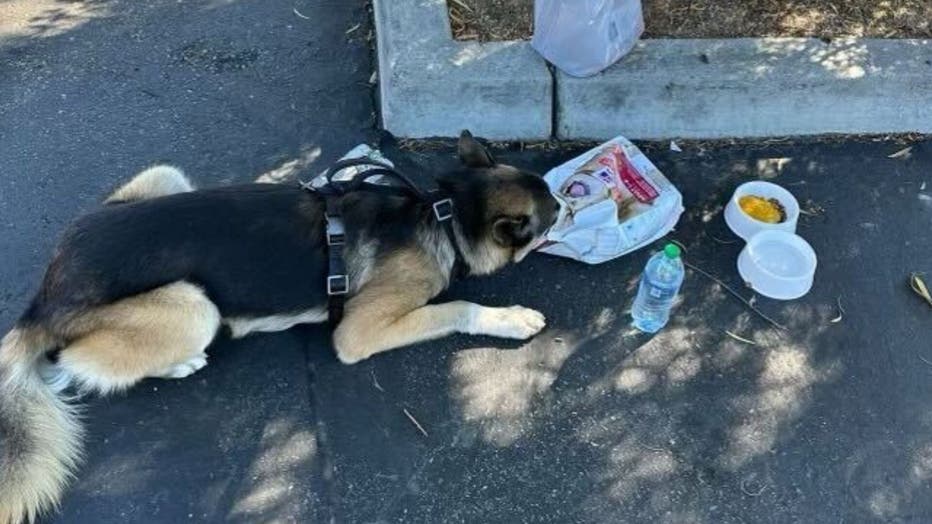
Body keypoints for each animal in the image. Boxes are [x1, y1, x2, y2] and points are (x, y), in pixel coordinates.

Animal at [0, 132, 556, 524]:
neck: (442, 214)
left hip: (163, 178)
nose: (570, 203)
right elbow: (457, 306)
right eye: (553, 212)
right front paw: (509, 317)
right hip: (193, 306)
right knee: (75, 363)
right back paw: (179, 363)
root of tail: (45, 295)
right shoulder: (360, 331)